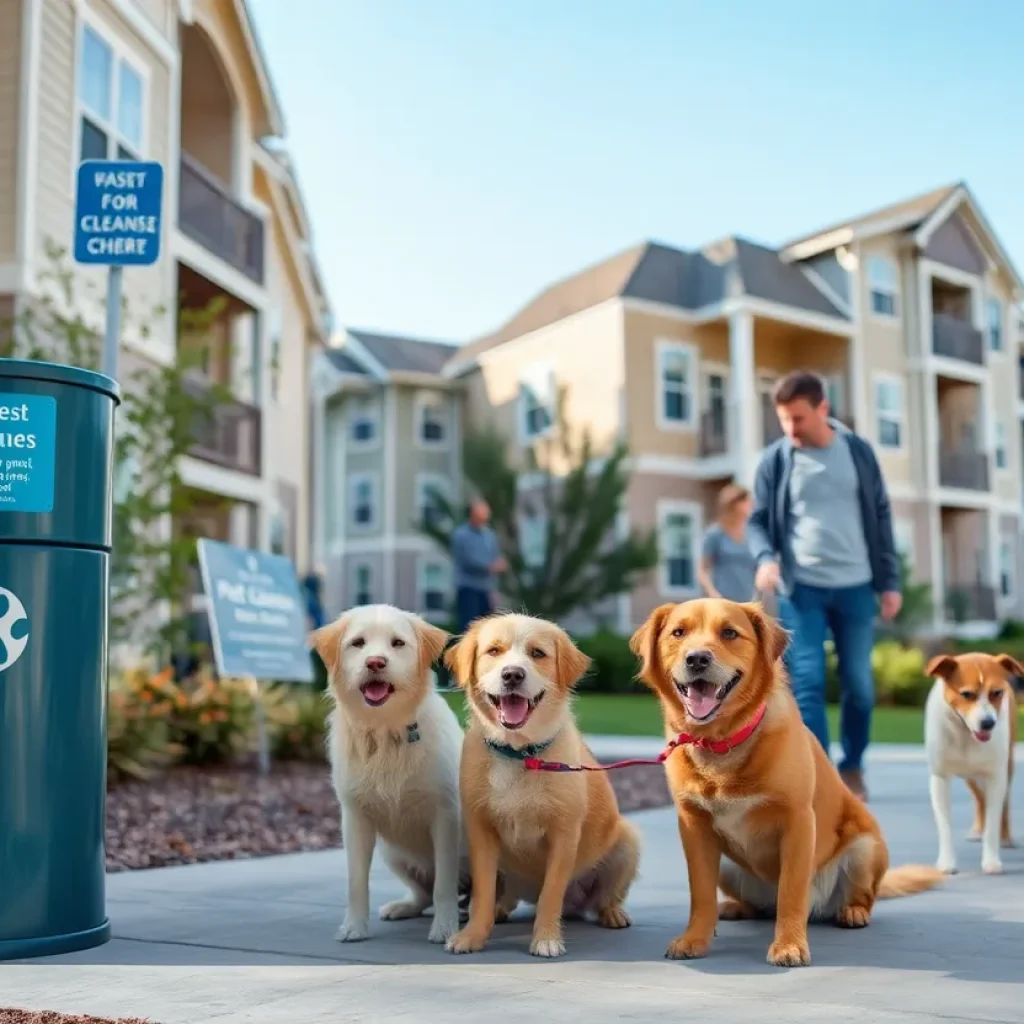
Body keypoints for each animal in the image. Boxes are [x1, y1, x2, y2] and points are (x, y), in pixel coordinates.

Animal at [305, 602, 462, 946]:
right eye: (358, 643)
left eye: (397, 643)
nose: (375, 662)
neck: (387, 729)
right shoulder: (355, 819)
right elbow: (356, 882)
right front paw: (354, 927)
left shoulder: (445, 817)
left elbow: (445, 884)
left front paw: (445, 928)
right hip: (394, 852)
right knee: (423, 893)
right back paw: (403, 906)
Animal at [442, 614, 634, 958]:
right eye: (494, 650)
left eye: (537, 653)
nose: (512, 674)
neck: (519, 753)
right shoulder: (481, 832)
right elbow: (482, 893)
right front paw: (472, 935)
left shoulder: (564, 835)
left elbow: (551, 894)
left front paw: (545, 938)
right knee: (504, 897)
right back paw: (500, 910)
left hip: (628, 842)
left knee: (605, 897)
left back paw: (612, 913)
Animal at [630, 598, 942, 962]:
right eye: (678, 633)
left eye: (729, 633)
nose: (697, 658)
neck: (723, 742)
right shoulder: (694, 827)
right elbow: (701, 894)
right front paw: (695, 939)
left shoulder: (797, 822)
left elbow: (791, 893)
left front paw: (789, 945)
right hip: (728, 868)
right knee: (760, 906)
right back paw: (736, 907)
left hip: (865, 849)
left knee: (857, 897)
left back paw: (852, 912)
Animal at [925, 651, 1019, 876]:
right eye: (967, 694)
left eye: (996, 692)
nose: (988, 723)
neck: (965, 735)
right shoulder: (940, 778)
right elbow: (945, 823)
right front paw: (947, 862)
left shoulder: (995, 776)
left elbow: (994, 819)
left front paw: (991, 860)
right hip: (970, 776)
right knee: (979, 798)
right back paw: (978, 829)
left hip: (1006, 765)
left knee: (1003, 802)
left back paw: (1005, 837)